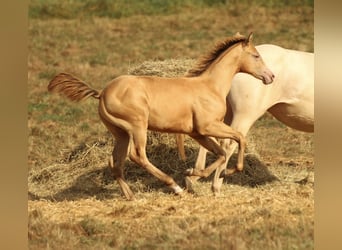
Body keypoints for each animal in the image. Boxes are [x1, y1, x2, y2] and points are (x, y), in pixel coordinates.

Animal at [48, 33, 274, 201]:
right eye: (256, 56)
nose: (270, 76)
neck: (210, 86)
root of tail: (102, 93)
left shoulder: (197, 133)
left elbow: (220, 153)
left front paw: (193, 173)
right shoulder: (208, 126)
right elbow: (239, 139)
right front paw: (226, 172)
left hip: (120, 133)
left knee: (115, 162)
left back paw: (131, 196)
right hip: (137, 126)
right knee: (137, 155)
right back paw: (174, 187)